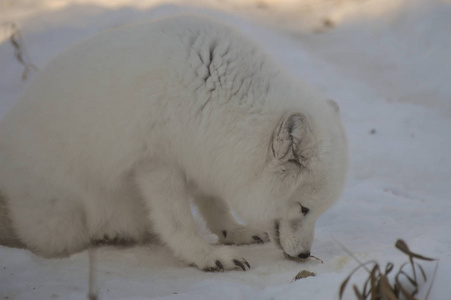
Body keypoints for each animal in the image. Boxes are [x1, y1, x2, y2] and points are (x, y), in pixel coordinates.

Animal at [0, 15, 350, 270]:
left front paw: (233, 232)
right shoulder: (156, 165)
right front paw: (208, 256)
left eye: (315, 211)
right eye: (304, 208)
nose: (304, 255)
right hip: (63, 222)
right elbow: (178, 223)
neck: (217, 96)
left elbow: (215, 204)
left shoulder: (205, 154)